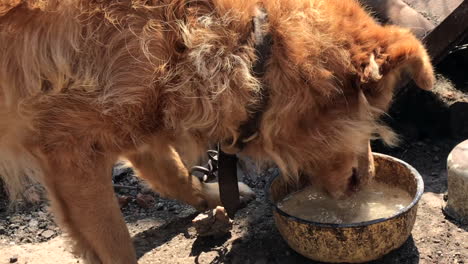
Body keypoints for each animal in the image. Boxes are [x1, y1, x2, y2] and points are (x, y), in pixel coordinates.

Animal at [0, 0, 434, 262]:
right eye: (376, 111)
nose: (370, 178)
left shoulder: (134, 121)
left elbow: (171, 172)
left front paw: (207, 195)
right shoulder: (71, 151)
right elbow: (116, 245)